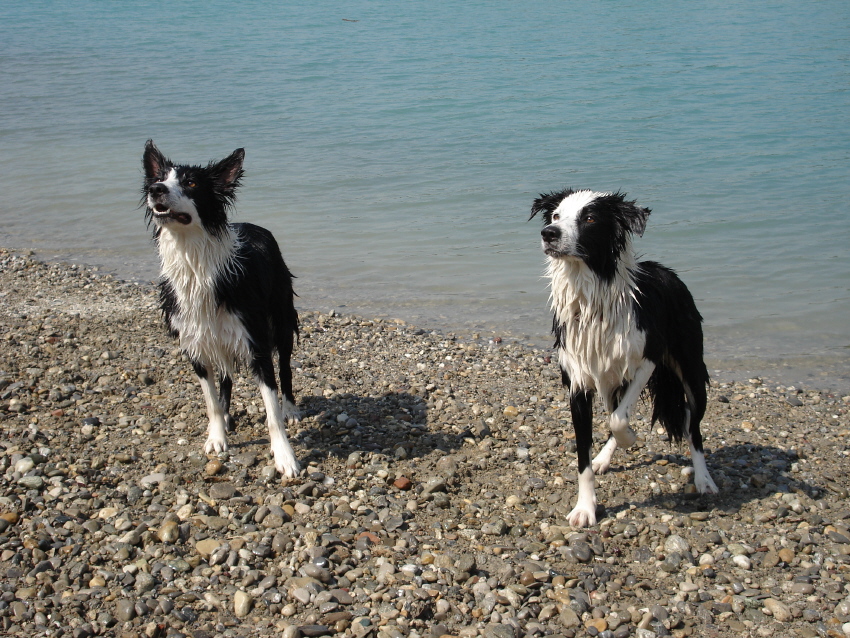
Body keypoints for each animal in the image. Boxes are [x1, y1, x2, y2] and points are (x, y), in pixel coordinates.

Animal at [139, 141, 298, 480]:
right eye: (159, 178)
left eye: (191, 183)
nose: (156, 189)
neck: (195, 262)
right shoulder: (194, 343)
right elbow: (211, 399)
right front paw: (216, 436)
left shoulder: (255, 341)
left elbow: (271, 409)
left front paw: (284, 456)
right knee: (225, 378)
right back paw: (225, 418)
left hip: (280, 316)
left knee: (286, 366)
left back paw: (291, 407)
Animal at [528, 190, 716, 528]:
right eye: (556, 216)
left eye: (590, 218)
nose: (549, 234)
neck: (591, 298)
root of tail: (668, 271)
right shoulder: (578, 382)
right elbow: (585, 456)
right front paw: (585, 508)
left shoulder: (648, 359)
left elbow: (618, 420)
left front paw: (630, 437)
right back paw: (604, 457)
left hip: (691, 368)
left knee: (692, 425)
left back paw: (704, 480)